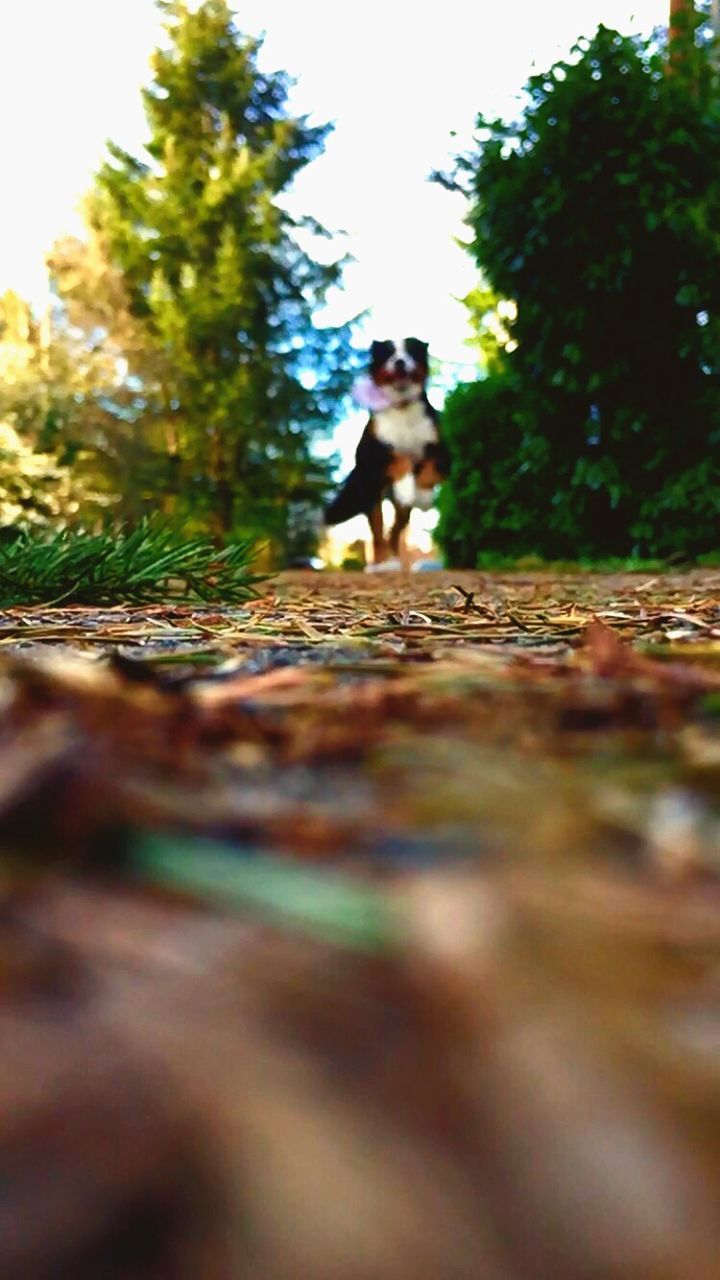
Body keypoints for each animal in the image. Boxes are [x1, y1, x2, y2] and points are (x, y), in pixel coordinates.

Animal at [324, 337, 445, 568]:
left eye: (410, 351)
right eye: (388, 353)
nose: (399, 362)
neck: (402, 408)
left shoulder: (440, 448)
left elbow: (431, 467)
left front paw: (424, 497)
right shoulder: (373, 451)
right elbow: (400, 457)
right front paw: (406, 485)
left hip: (400, 509)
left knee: (395, 531)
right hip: (371, 493)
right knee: (378, 533)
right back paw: (382, 564)